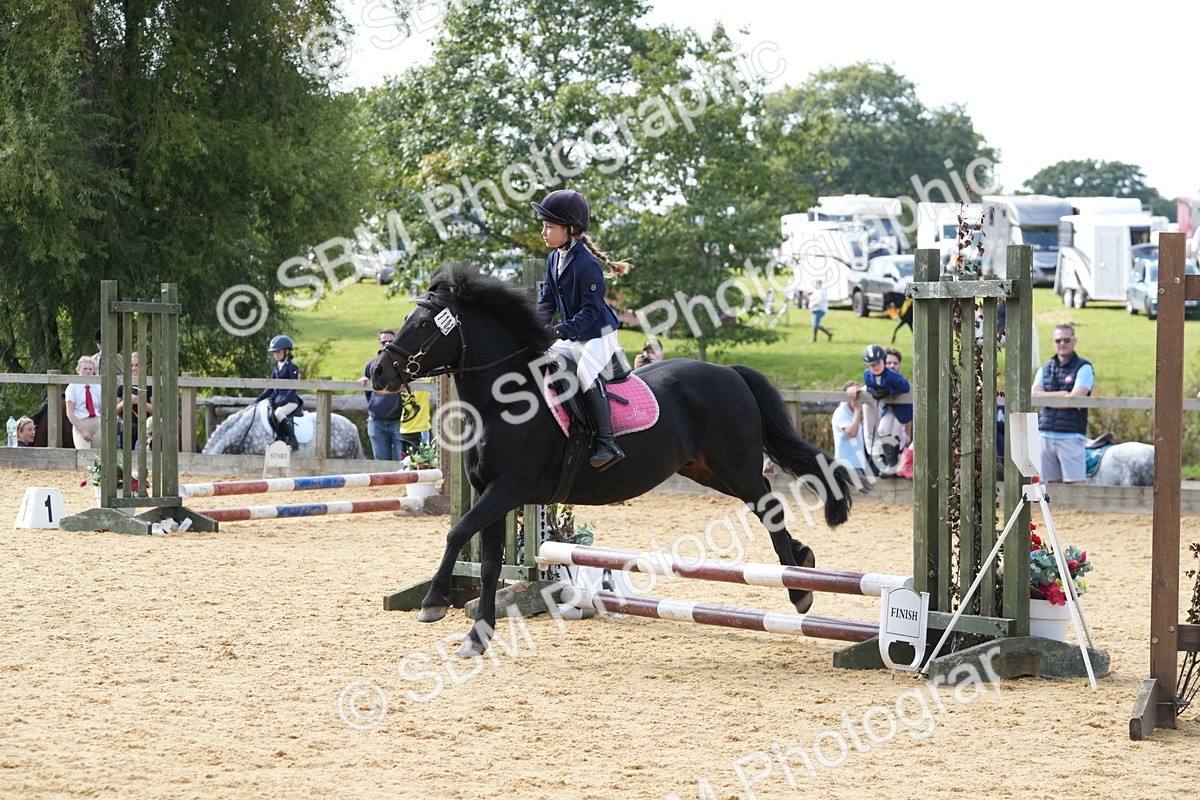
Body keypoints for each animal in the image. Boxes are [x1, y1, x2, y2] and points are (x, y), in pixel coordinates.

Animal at [371, 262, 855, 657]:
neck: (500, 401)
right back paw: (803, 559)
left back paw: (800, 590)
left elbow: (456, 533)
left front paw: (433, 603)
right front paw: (477, 636)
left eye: (424, 324)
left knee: (769, 505)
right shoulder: (490, 492)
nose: (377, 372)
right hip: (706, 470)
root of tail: (729, 372)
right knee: (766, 502)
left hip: (735, 467)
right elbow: (488, 563)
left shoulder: (508, 488)